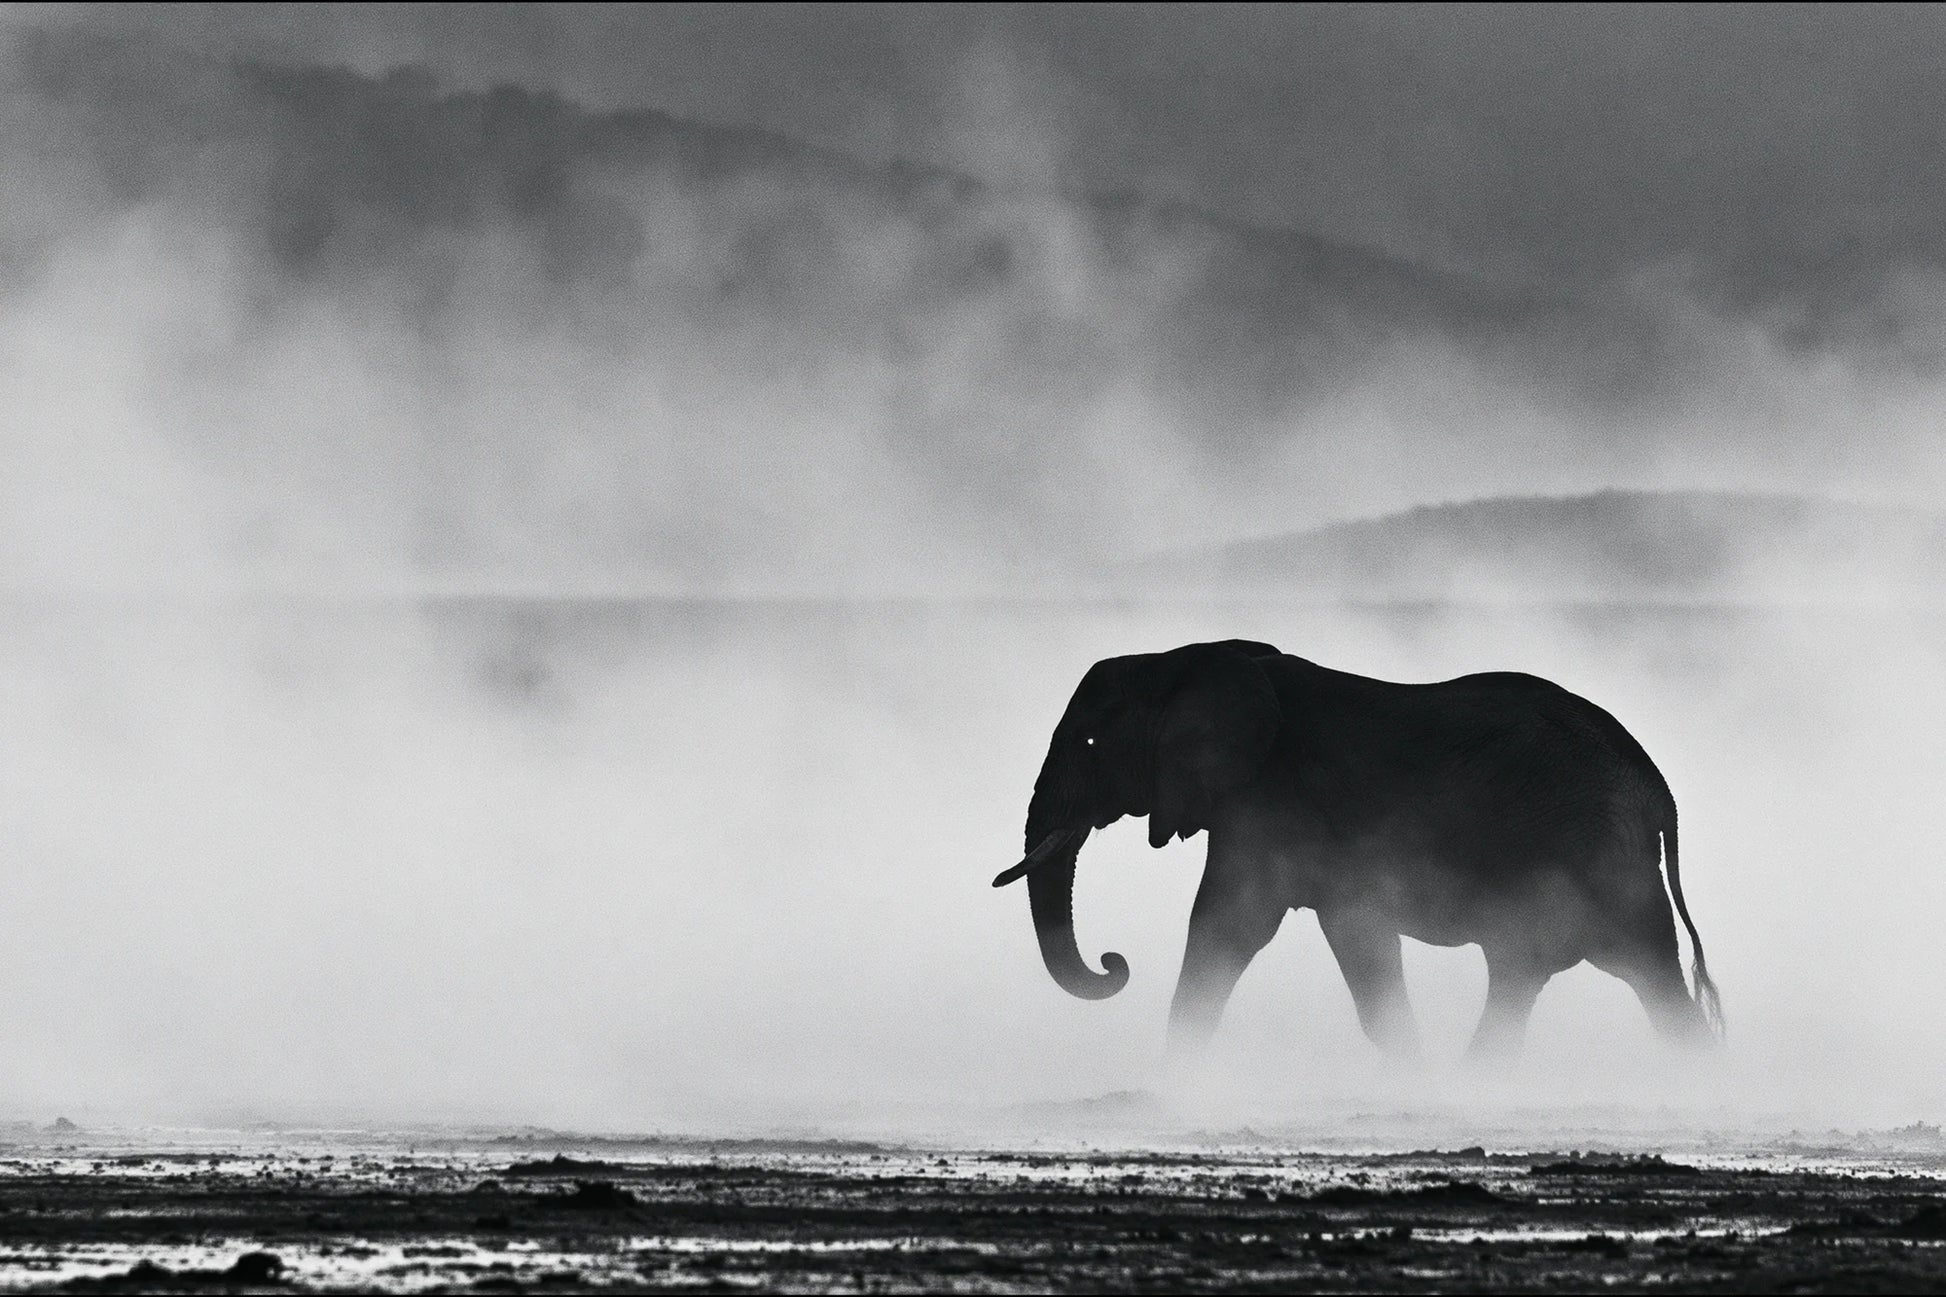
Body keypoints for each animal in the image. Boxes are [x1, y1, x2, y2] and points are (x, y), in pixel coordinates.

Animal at [994, 639, 1722, 1065]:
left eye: (1091, 743)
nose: (1114, 962)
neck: (1189, 658)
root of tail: (1655, 785)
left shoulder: (1272, 804)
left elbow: (1229, 927)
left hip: (1588, 854)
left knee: (1558, 970)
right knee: (1623, 976)